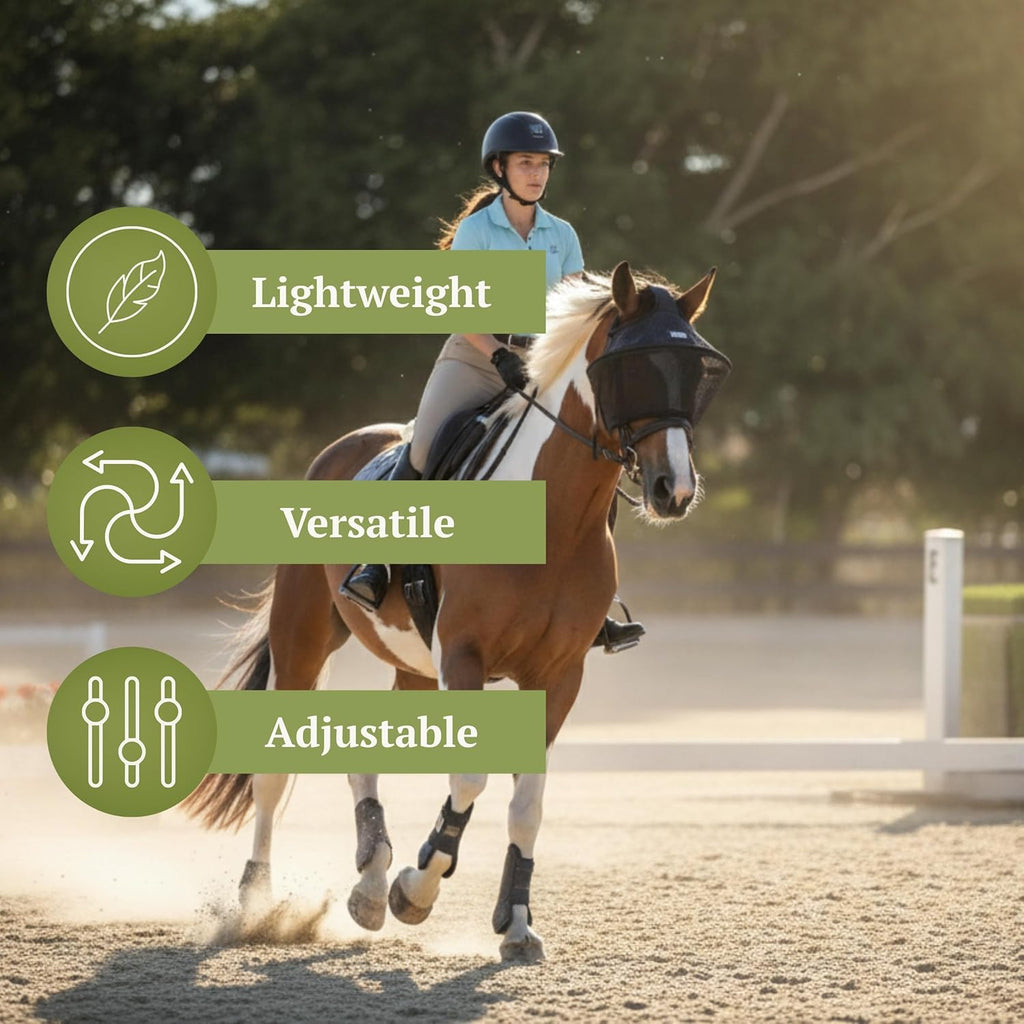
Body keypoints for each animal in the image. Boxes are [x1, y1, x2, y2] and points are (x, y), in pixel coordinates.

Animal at [183, 261, 730, 962]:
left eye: (694, 372)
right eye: (628, 367)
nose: (674, 491)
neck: (552, 520)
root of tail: (344, 446)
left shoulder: (559, 675)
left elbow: (528, 803)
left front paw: (516, 923)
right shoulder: (464, 657)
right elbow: (469, 780)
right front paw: (415, 891)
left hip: (414, 667)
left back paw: (368, 881)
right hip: (302, 638)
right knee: (271, 776)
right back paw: (259, 903)